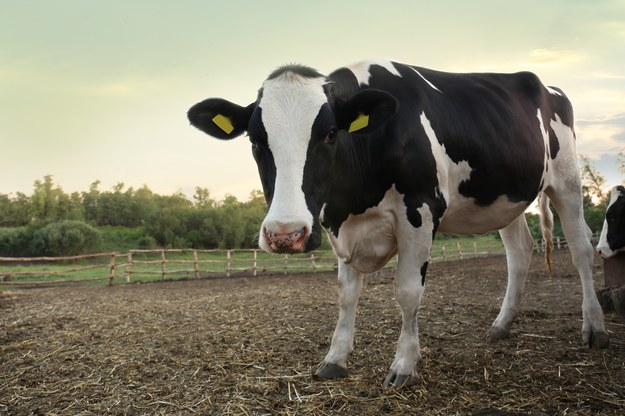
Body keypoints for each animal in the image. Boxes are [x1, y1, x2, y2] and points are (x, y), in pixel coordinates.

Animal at [188, 58, 608, 386]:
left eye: (330, 134)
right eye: (255, 140)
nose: (285, 234)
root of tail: (544, 84)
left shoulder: (420, 211)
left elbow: (407, 292)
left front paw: (404, 365)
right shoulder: (341, 226)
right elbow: (346, 294)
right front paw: (334, 359)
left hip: (567, 182)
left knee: (581, 250)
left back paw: (595, 327)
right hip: (506, 199)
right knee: (519, 254)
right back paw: (501, 325)